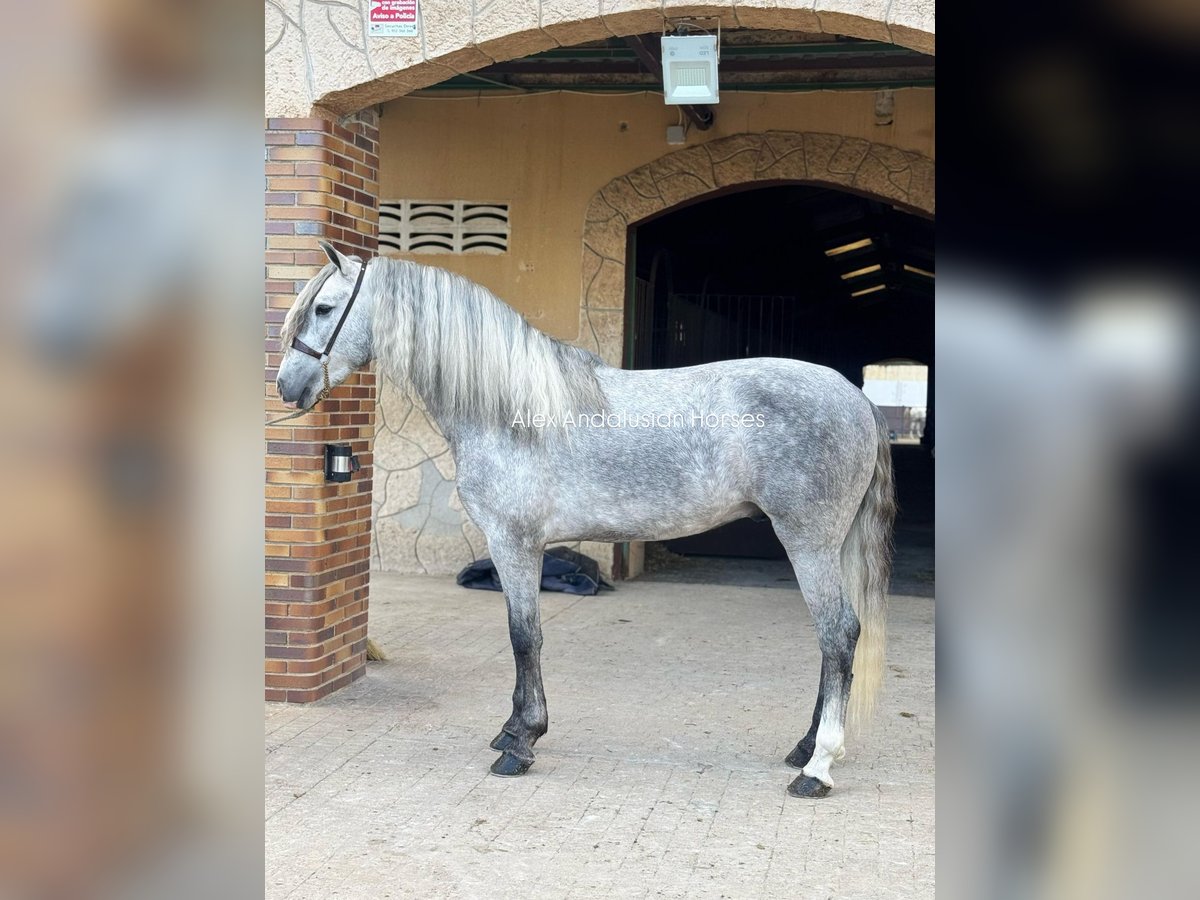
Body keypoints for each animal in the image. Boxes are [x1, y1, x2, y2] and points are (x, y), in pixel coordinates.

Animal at [278, 243, 892, 801]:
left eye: (324, 309)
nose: (288, 386)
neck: (508, 407)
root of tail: (855, 396)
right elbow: (524, 637)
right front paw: (512, 731)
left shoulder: (514, 543)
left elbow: (524, 636)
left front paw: (520, 742)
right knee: (831, 642)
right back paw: (804, 746)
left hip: (808, 541)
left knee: (839, 634)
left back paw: (817, 768)